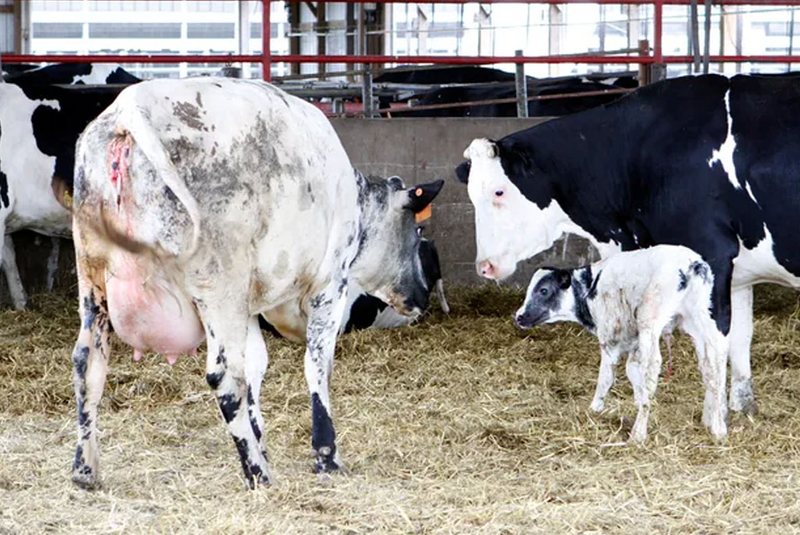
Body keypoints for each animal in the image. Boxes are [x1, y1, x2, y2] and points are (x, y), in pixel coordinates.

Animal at [66, 77, 444, 489]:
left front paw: (261, 439)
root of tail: (130, 107)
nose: (421, 294)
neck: (355, 203)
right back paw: (256, 473)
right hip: (218, 288)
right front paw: (325, 455)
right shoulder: (330, 286)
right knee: (222, 376)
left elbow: (256, 366)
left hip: (94, 281)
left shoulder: (249, 306)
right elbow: (318, 365)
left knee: (88, 363)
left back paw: (85, 469)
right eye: (417, 230)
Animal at [456, 73, 800, 417]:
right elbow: (740, 338)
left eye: (499, 192)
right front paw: (743, 408)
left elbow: (714, 342)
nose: (484, 267)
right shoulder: (738, 273)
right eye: (471, 195)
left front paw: (716, 417)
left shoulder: (711, 252)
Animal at [514, 246, 727, 442]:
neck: (590, 288)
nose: (519, 316)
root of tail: (692, 263)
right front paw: (637, 400)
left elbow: (606, 378)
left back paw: (638, 433)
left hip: (650, 319)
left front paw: (594, 409)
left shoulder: (610, 340)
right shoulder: (633, 342)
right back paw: (718, 428)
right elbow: (632, 371)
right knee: (713, 367)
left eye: (544, 290)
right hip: (700, 320)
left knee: (654, 365)